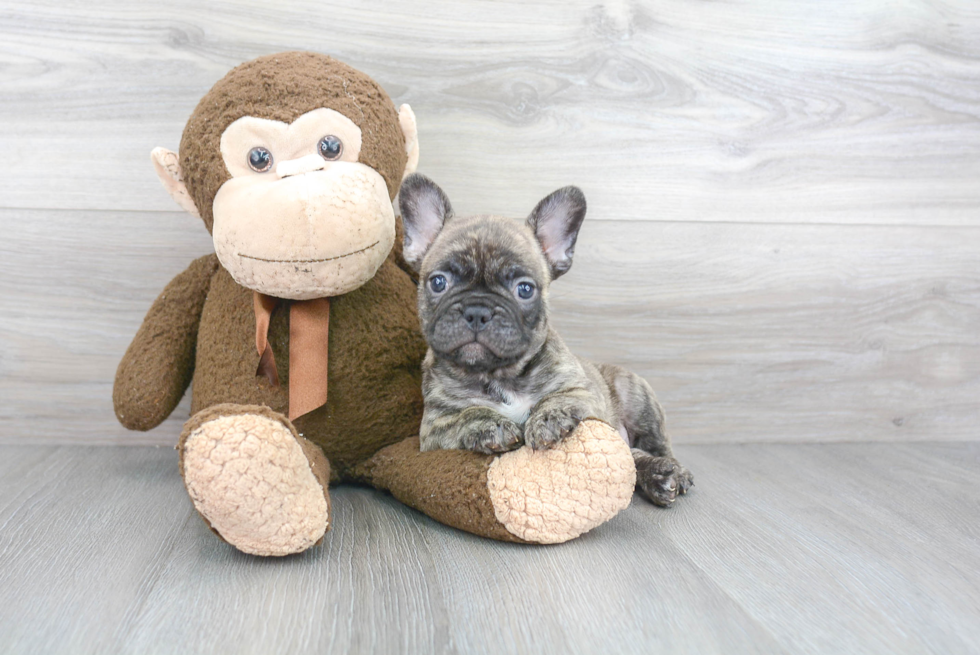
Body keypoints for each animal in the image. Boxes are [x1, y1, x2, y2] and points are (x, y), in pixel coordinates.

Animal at [394, 174, 692, 508]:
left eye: (525, 289)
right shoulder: (432, 429)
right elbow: (464, 415)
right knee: (631, 455)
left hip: (638, 398)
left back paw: (668, 472)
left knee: (651, 447)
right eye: (438, 282)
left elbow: (558, 398)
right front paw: (489, 424)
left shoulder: (584, 393)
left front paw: (548, 418)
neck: (499, 375)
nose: (477, 311)